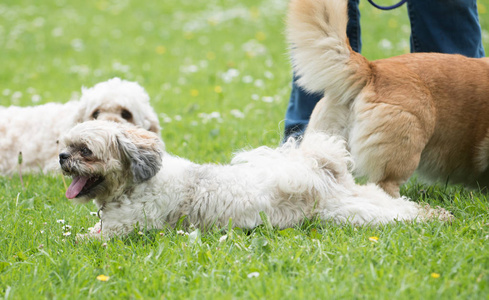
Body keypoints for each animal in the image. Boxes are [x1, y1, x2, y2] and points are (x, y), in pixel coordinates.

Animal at [59, 120, 452, 239]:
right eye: (64, 145)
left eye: (86, 151)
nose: (62, 158)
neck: (135, 182)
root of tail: (321, 169)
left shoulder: (125, 231)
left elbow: (83, 238)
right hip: (361, 200)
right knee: (397, 203)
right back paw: (439, 215)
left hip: (347, 215)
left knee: (396, 215)